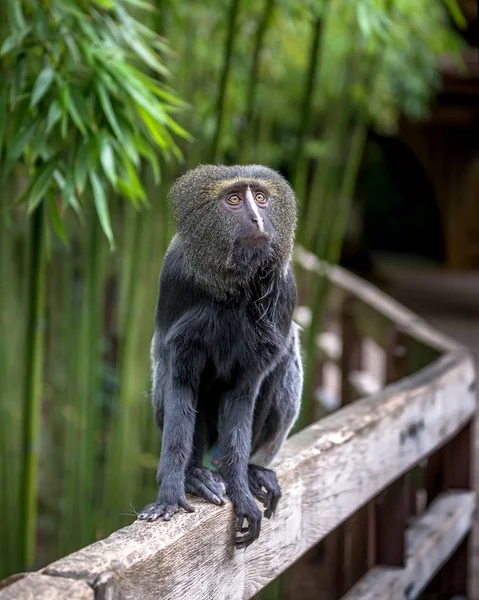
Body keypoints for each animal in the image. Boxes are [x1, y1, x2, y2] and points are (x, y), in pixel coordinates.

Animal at [138, 164, 304, 548]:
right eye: (234, 200)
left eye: (260, 197)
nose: (257, 218)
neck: (237, 288)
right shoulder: (176, 277)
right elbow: (179, 381)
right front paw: (171, 492)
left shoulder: (286, 290)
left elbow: (243, 394)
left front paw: (241, 490)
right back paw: (197, 474)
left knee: (287, 353)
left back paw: (252, 471)